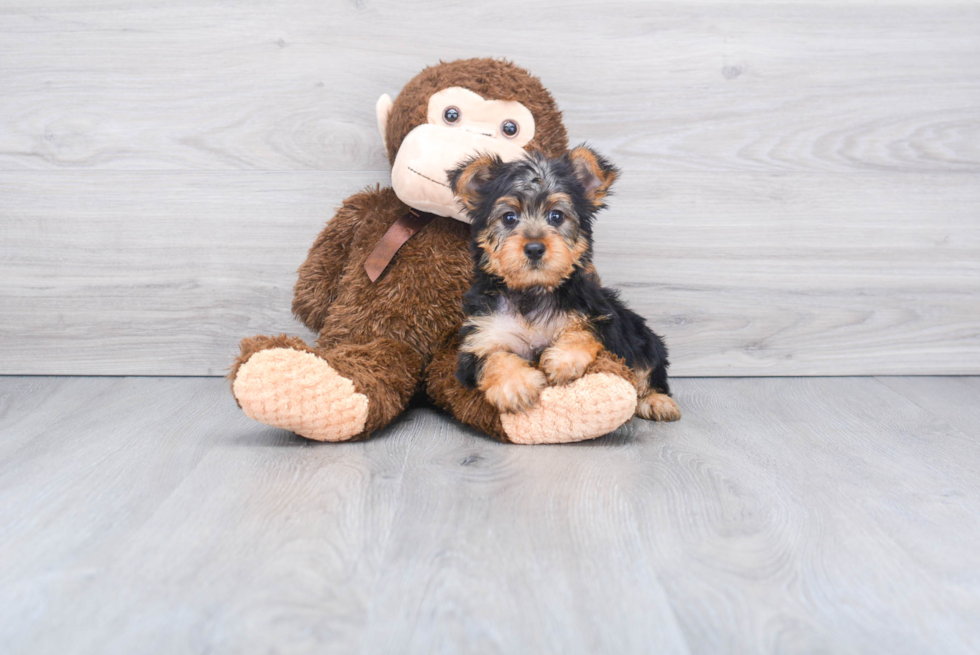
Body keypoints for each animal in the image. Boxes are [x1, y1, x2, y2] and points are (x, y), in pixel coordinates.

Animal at [446, 146, 680, 422]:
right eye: (509, 218)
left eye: (556, 216)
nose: (534, 248)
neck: (533, 293)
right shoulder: (480, 336)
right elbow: (493, 357)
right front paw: (515, 386)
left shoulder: (602, 317)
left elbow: (584, 331)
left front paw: (562, 360)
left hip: (640, 333)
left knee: (649, 365)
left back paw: (657, 400)